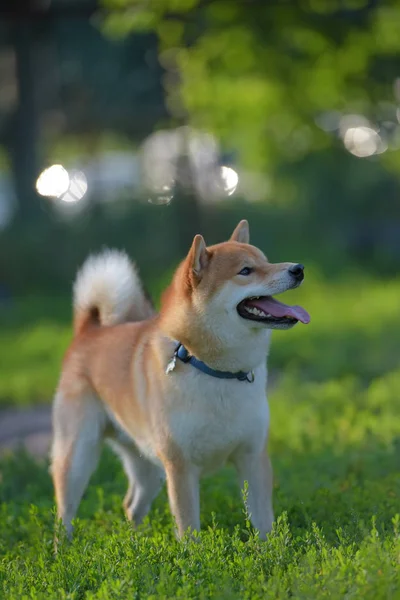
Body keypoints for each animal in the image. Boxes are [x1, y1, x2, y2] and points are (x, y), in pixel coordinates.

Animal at [51, 219, 310, 540]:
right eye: (246, 271)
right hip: (78, 457)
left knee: (131, 505)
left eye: (266, 261)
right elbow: (189, 529)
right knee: (64, 516)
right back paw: (64, 549)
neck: (216, 370)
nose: (298, 268)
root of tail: (88, 332)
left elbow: (264, 522)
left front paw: (272, 550)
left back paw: (136, 543)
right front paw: (196, 553)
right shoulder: (181, 467)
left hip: (148, 466)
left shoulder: (252, 456)